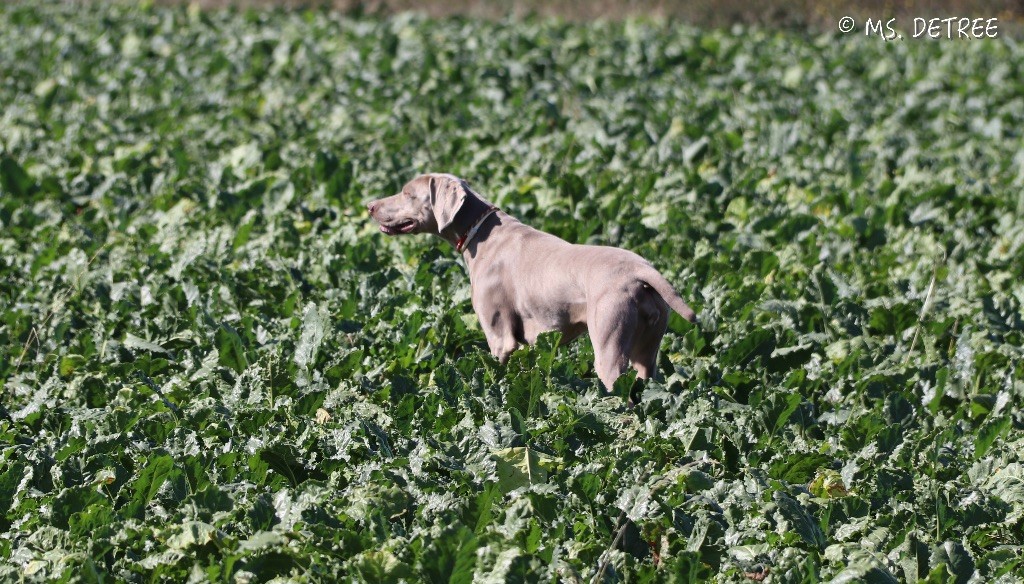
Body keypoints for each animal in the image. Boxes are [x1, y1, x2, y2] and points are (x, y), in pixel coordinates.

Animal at [368, 172, 696, 391]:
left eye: (407, 193)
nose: (370, 205)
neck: (481, 232)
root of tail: (641, 269)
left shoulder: (500, 338)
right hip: (647, 353)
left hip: (609, 348)